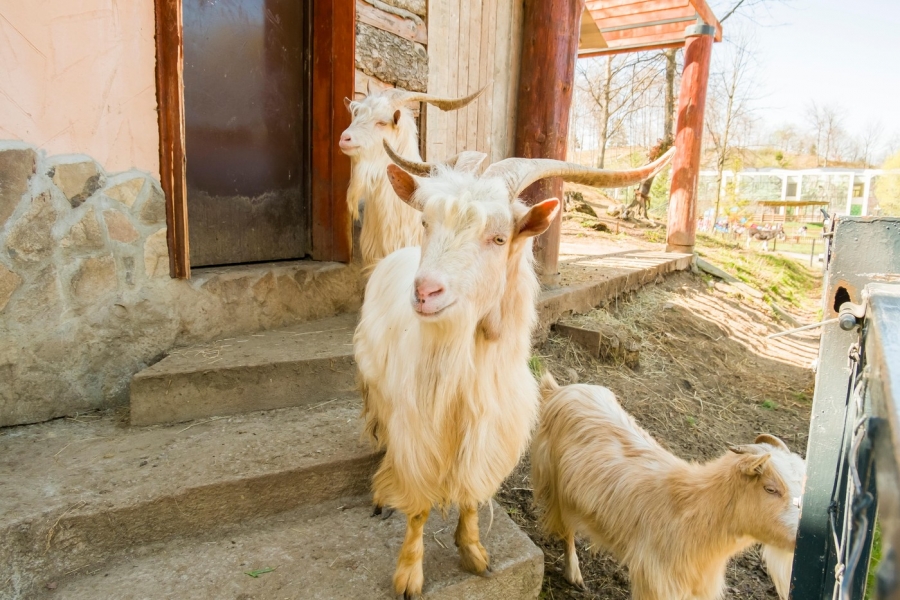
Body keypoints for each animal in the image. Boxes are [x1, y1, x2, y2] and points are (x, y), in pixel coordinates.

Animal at [354, 144, 675, 598]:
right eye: (425, 222)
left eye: (499, 237)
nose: (425, 291)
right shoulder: (420, 434)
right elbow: (417, 508)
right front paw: (409, 576)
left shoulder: (490, 435)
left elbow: (472, 495)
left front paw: (474, 552)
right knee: (377, 419)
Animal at [531, 373, 805, 600]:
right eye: (770, 488)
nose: (799, 538)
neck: (692, 509)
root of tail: (561, 390)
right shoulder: (656, 583)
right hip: (555, 485)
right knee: (566, 530)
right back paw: (574, 573)